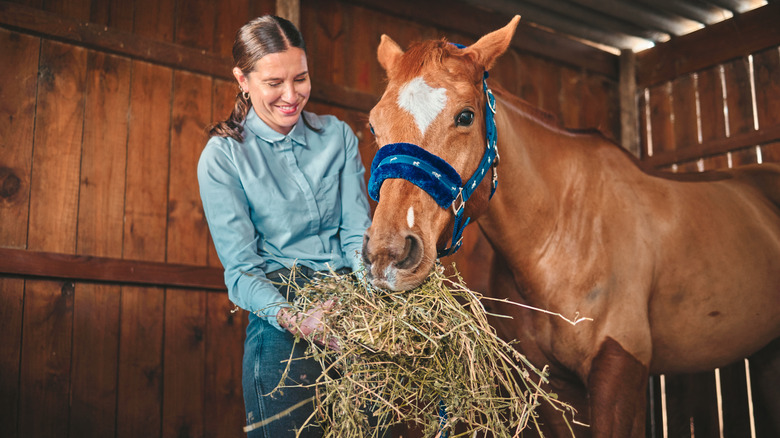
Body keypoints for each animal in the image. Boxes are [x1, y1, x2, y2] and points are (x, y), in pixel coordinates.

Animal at [362, 15, 780, 436]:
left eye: (465, 116)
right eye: (374, 125)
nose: (389, 255)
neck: (562, 232)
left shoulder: (618, 369)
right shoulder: (551, 383)